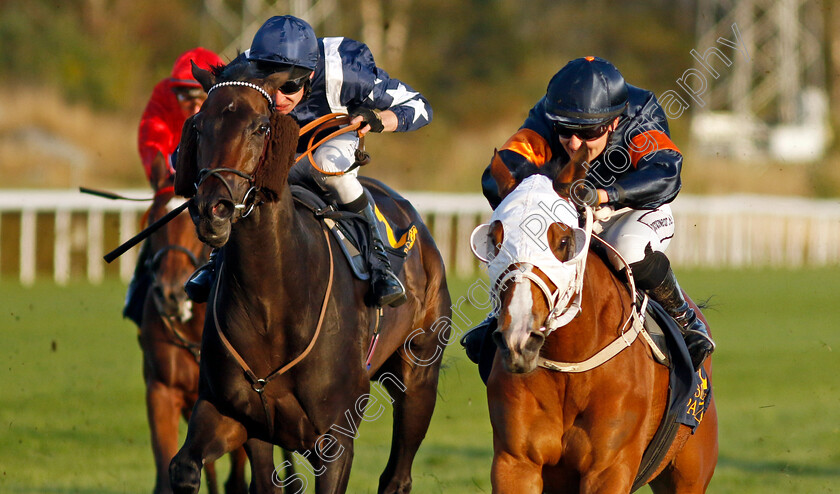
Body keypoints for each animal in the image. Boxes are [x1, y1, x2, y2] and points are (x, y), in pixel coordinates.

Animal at [167, 58, 450, 494]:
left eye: (261, 127)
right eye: (198, 125)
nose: (212, 208)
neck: (272, 303)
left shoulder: (335, 436)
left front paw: (370, 116)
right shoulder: (237, 416)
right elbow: (186, 467)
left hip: (419, 375)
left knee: (397, 476)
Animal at [476, 152, 720, 492]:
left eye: (563, 240)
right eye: (493, 239)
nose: (518, 338)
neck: (569, 365)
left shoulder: (610, 468)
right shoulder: (515, 463)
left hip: (689, 473)